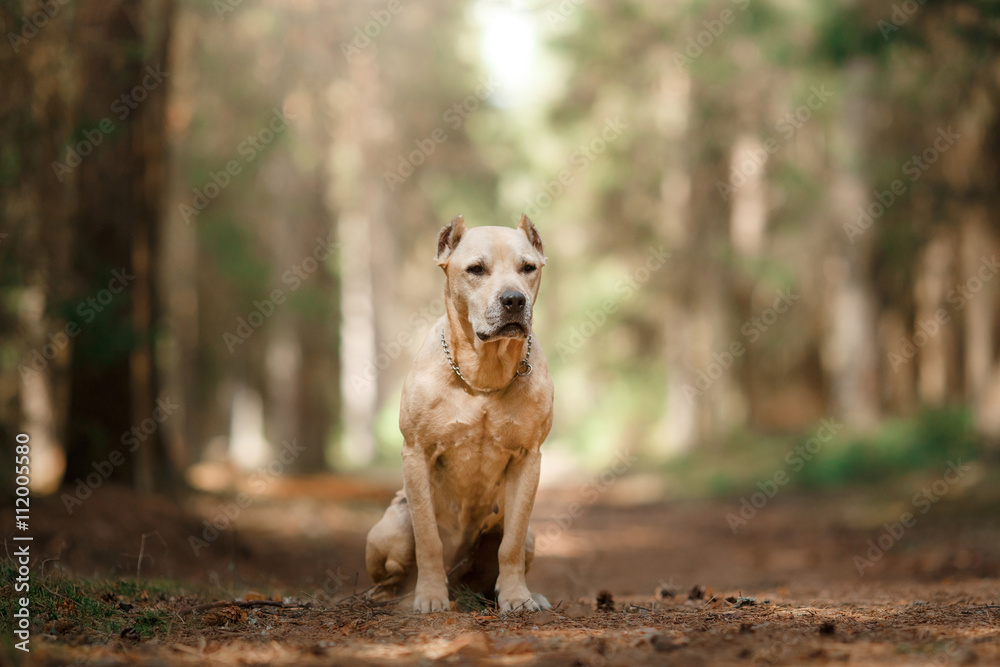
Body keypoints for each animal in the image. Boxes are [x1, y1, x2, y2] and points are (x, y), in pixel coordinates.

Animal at [366, 215, 556, 616]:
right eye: (476, 270)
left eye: (528, 268)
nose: (513, 299)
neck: (484, 374)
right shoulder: (416, 453)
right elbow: (427, 539)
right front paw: (429, 596)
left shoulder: (528, 459)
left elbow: (511, 543)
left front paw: (517, 597)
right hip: (390, 529)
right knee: (392, 573)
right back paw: (394, 597)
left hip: (526, 537)